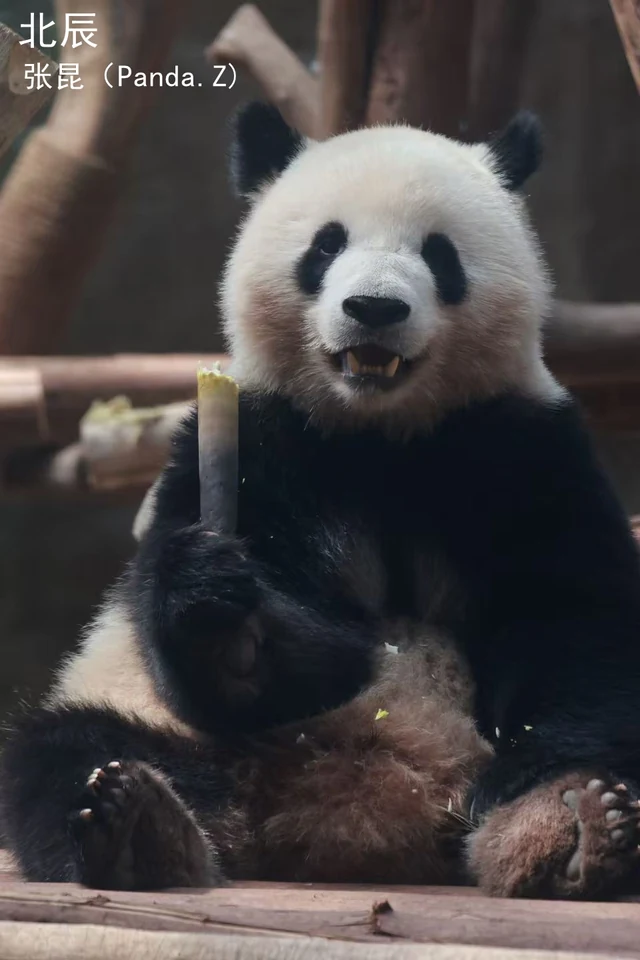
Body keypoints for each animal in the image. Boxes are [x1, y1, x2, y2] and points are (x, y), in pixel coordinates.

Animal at [3, 102, 640, 900]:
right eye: (326, 244)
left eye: (440, 254)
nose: (374, 307)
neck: (378, 431)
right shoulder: (260, 441)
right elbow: (294, 662)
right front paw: (225, 622)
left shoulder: (519, 446)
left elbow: (571, 615)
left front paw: (536, 780)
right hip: (170, 730)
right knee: (61, 750)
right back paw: (140, 829)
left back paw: (571, 827)